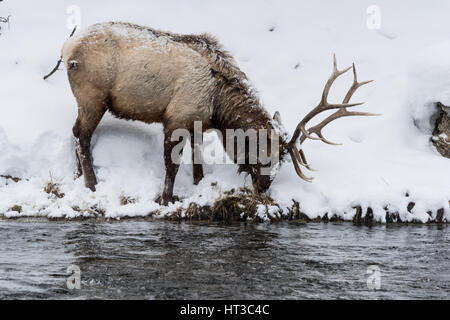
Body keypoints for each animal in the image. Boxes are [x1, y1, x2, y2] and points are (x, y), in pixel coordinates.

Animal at [61, 23, 374, 208]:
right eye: (264, 154)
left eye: (281, 161)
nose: (264, 188)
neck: (218, 108)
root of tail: (66, 49)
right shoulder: (176, 117)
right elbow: (171, 166)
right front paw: (166, 199)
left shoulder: (198, 123)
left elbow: (197, 160)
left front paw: (198, 185)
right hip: (92, 95)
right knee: (82, 134)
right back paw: (91, 183)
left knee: (75, 132)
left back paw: (77, 176)